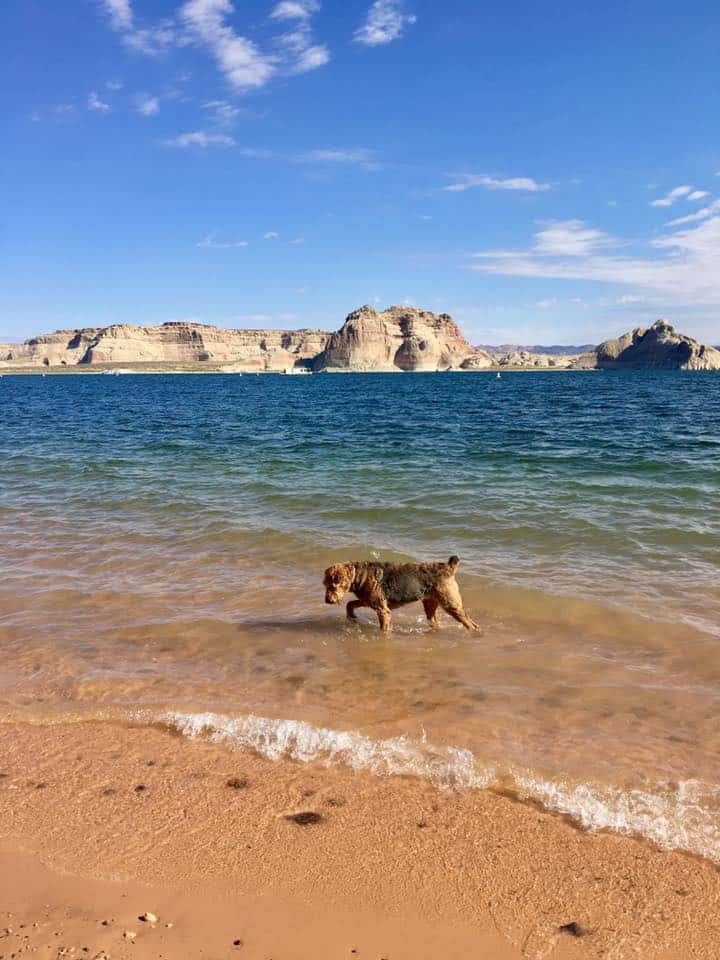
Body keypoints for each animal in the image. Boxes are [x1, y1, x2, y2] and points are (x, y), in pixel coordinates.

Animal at [320, 552, 478, 632]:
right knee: (434, 620)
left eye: (334, 585)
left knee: (471, 624)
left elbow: (383, 628)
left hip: (451, 604)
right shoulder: (368, 600)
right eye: (325, 584)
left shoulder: (382, 609)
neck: (359, 576)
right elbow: (350, 604)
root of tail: (449, 567)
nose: (328, 600)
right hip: (430, 604)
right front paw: (352, 617)